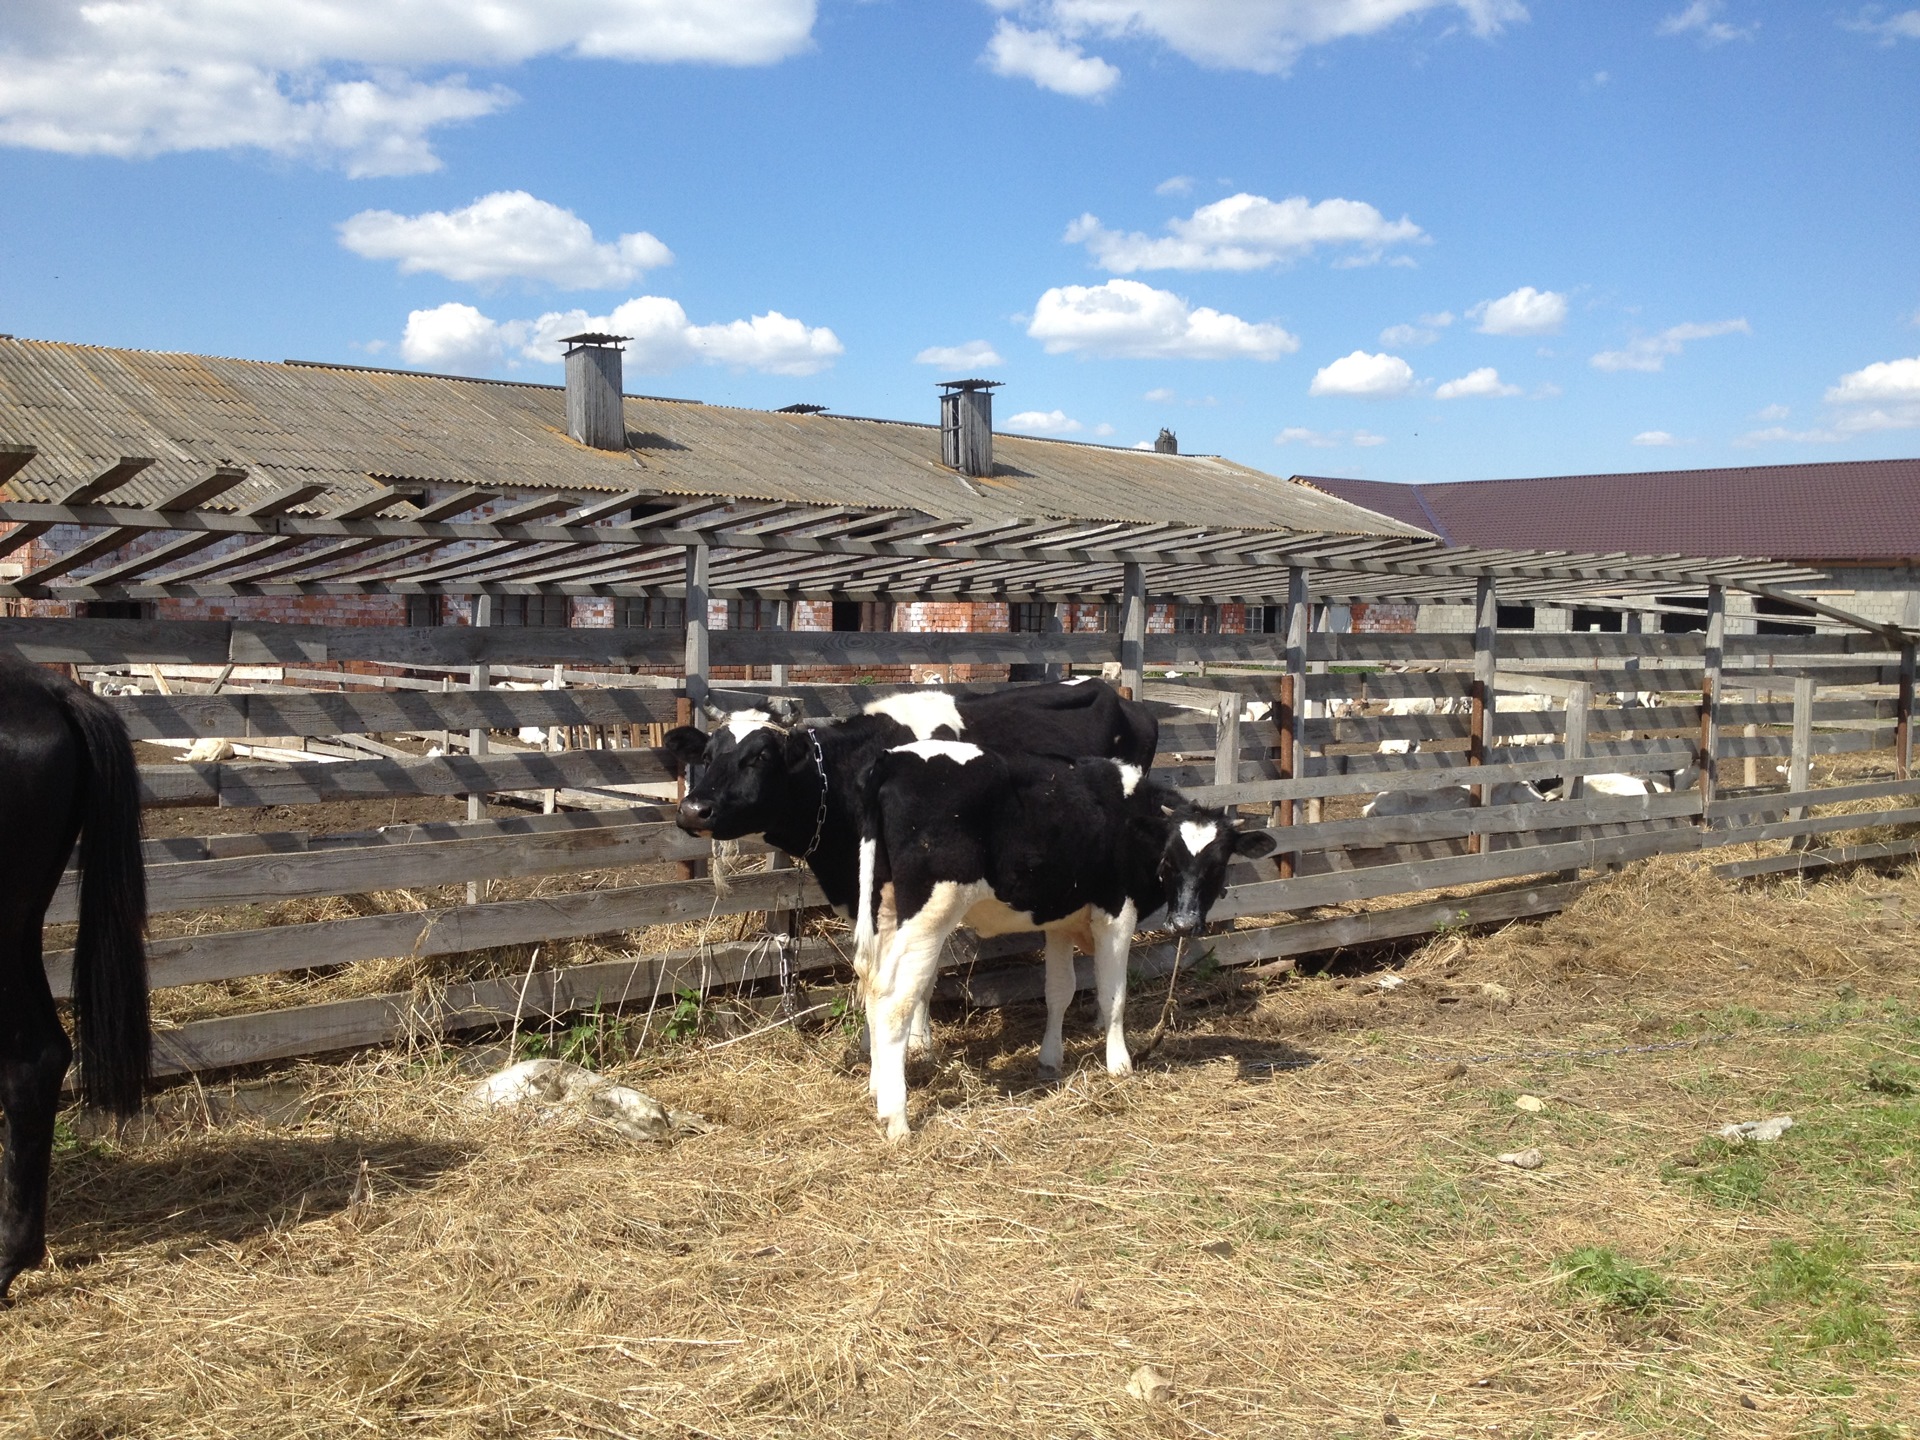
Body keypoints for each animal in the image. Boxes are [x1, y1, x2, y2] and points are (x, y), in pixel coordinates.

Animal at [856, 744, 1274, 1136]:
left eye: (1217, 865)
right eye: (1168, 861)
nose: (1184, 924)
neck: (1127, 819)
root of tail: (894, 758)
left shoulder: (1059, 920)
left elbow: (1060, 991)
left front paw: (1050, 1059)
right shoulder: (1116, 915)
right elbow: (1113, 994)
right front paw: (1120, 1064)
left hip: (884, 909)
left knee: (872, 983)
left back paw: (877, 1089)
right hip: (930, 914)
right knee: (896, 1000)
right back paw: (897, 1118)